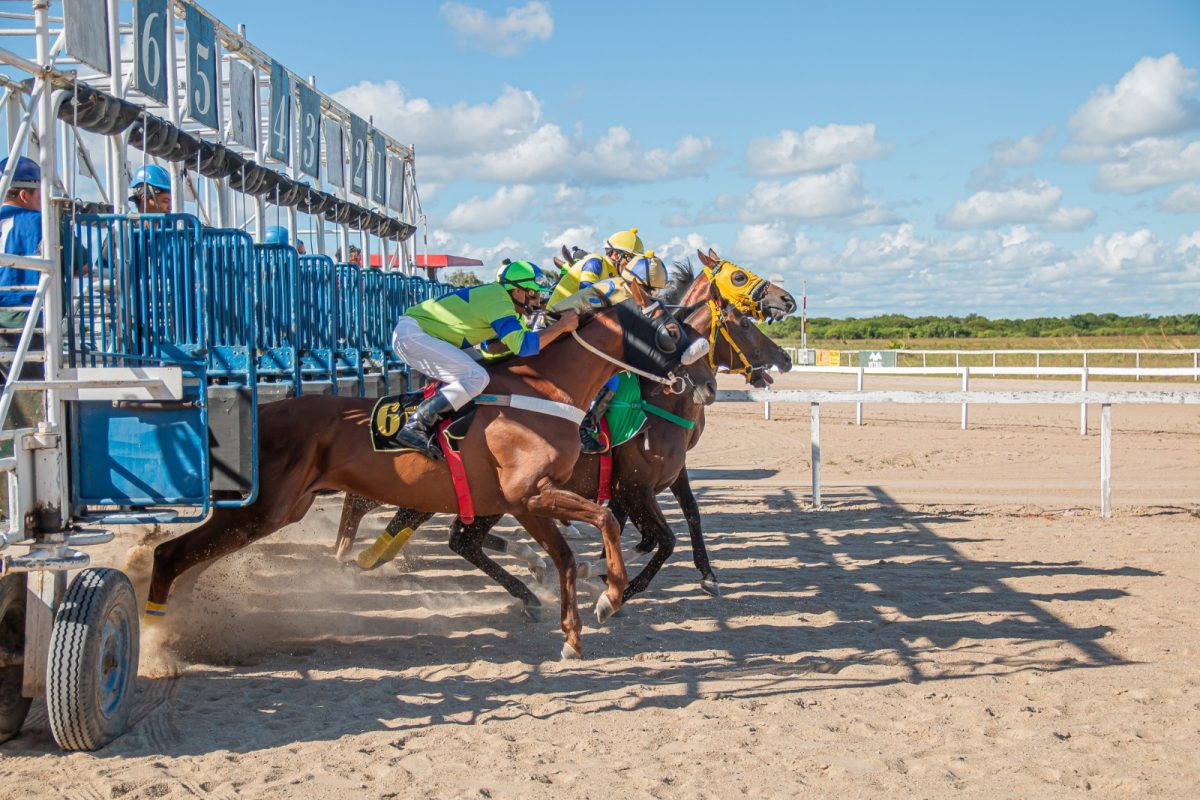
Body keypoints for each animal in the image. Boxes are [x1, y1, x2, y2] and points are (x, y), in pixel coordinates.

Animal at [148, 291, 710, 662]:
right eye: (673, 332)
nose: (703, 382)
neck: (548, 391)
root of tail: (261, 415)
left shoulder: (528, 501)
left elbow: (570, 557)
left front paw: (575, 629)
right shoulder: (536, 494)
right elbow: (605, 525)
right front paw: (610, 596)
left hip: (276, 512)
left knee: (192, 559)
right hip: (262, 510)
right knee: (171, 554)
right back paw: (159, 631)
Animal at [333, 250, 792, 606]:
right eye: (743, 319)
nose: (785, 357)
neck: (654, 401)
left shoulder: (663, 477)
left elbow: (687, 517)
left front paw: (703, 575)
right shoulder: (633, 487)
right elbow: (662, 539)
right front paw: (614, 586)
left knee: (449, 534)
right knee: (425, 526)